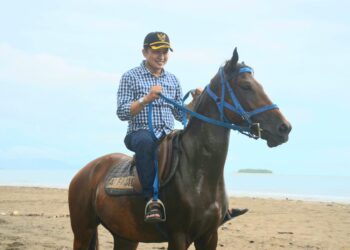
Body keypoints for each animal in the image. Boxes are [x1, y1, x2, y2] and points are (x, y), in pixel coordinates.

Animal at [67, 47, 290, 249]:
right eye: (245, 86)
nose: (284, 128)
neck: (199, 172)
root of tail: (85, 172)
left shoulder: (209, 236)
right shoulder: (178, 236)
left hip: (125, 236)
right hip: (83, 232)